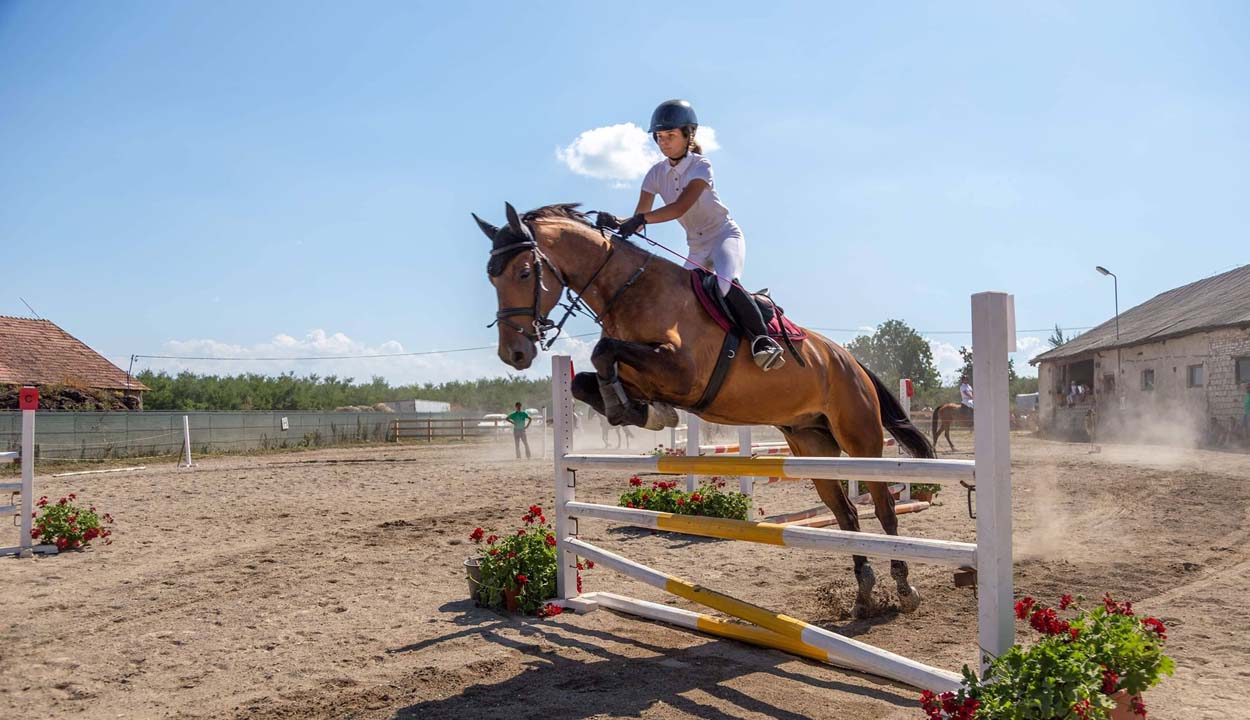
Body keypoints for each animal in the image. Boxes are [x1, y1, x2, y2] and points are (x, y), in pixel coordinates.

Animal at [475, 202, 940, 620]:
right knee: (846, 515)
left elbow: (602, 349)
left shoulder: (682, 372)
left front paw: (639, 409)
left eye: (523, 272)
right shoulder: (645, 374)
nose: (514, 353)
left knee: (883, 509)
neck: (632, 291)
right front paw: (638, 410)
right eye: (491, 276)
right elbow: (586, 377)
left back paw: (904, 591)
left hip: (861, 438)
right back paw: (863, 597)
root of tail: (848, 359)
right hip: (812, 445)